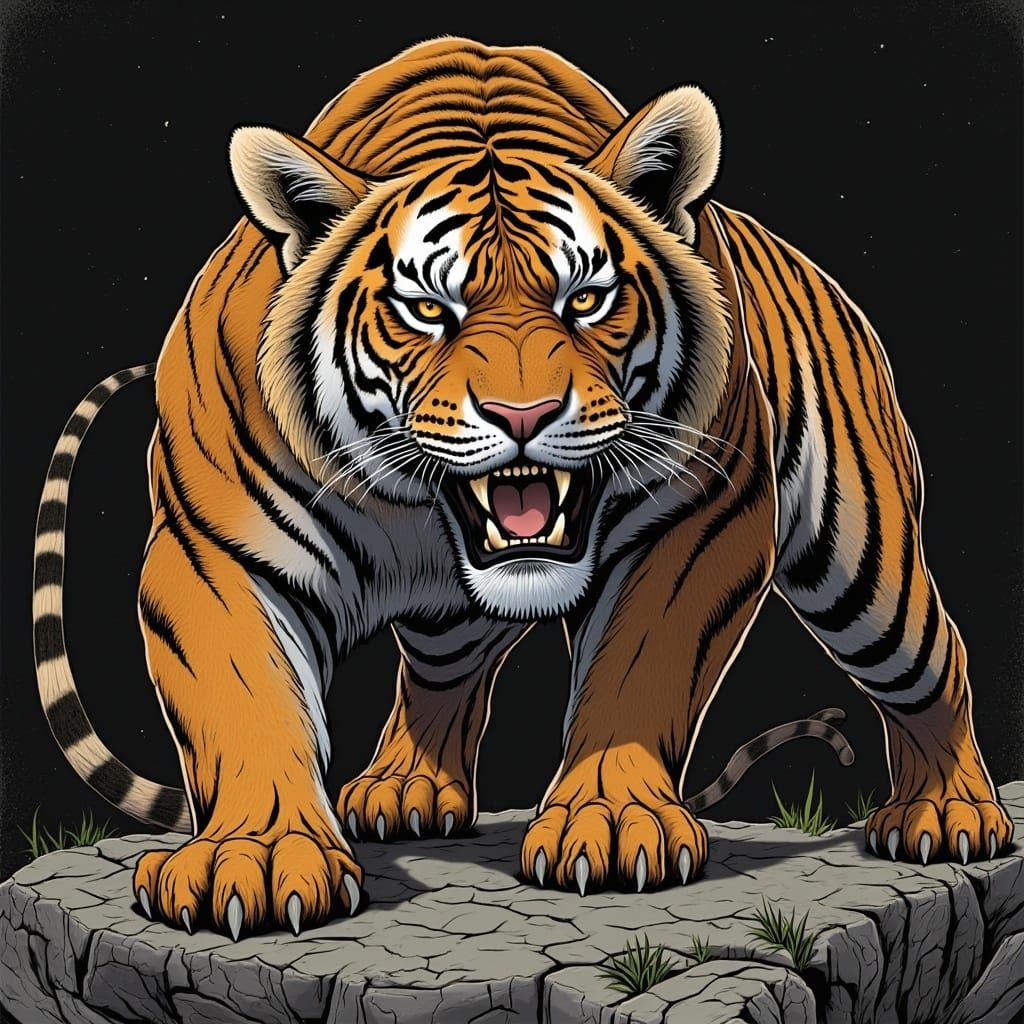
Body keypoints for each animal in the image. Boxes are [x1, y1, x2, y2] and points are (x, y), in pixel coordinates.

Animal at [33, 37, 1011, 939]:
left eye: (584, 299)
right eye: (428, 309)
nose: (524, 412)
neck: (415, 514)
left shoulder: (702, 515)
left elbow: (636, 667)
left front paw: (610, 819)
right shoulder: (212, 551)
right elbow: (249, 701)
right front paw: (260, 856)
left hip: (866, 571)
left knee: (938, 660)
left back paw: (948, 814)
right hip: (448, 623)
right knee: (440, 678)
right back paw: (403, 789)